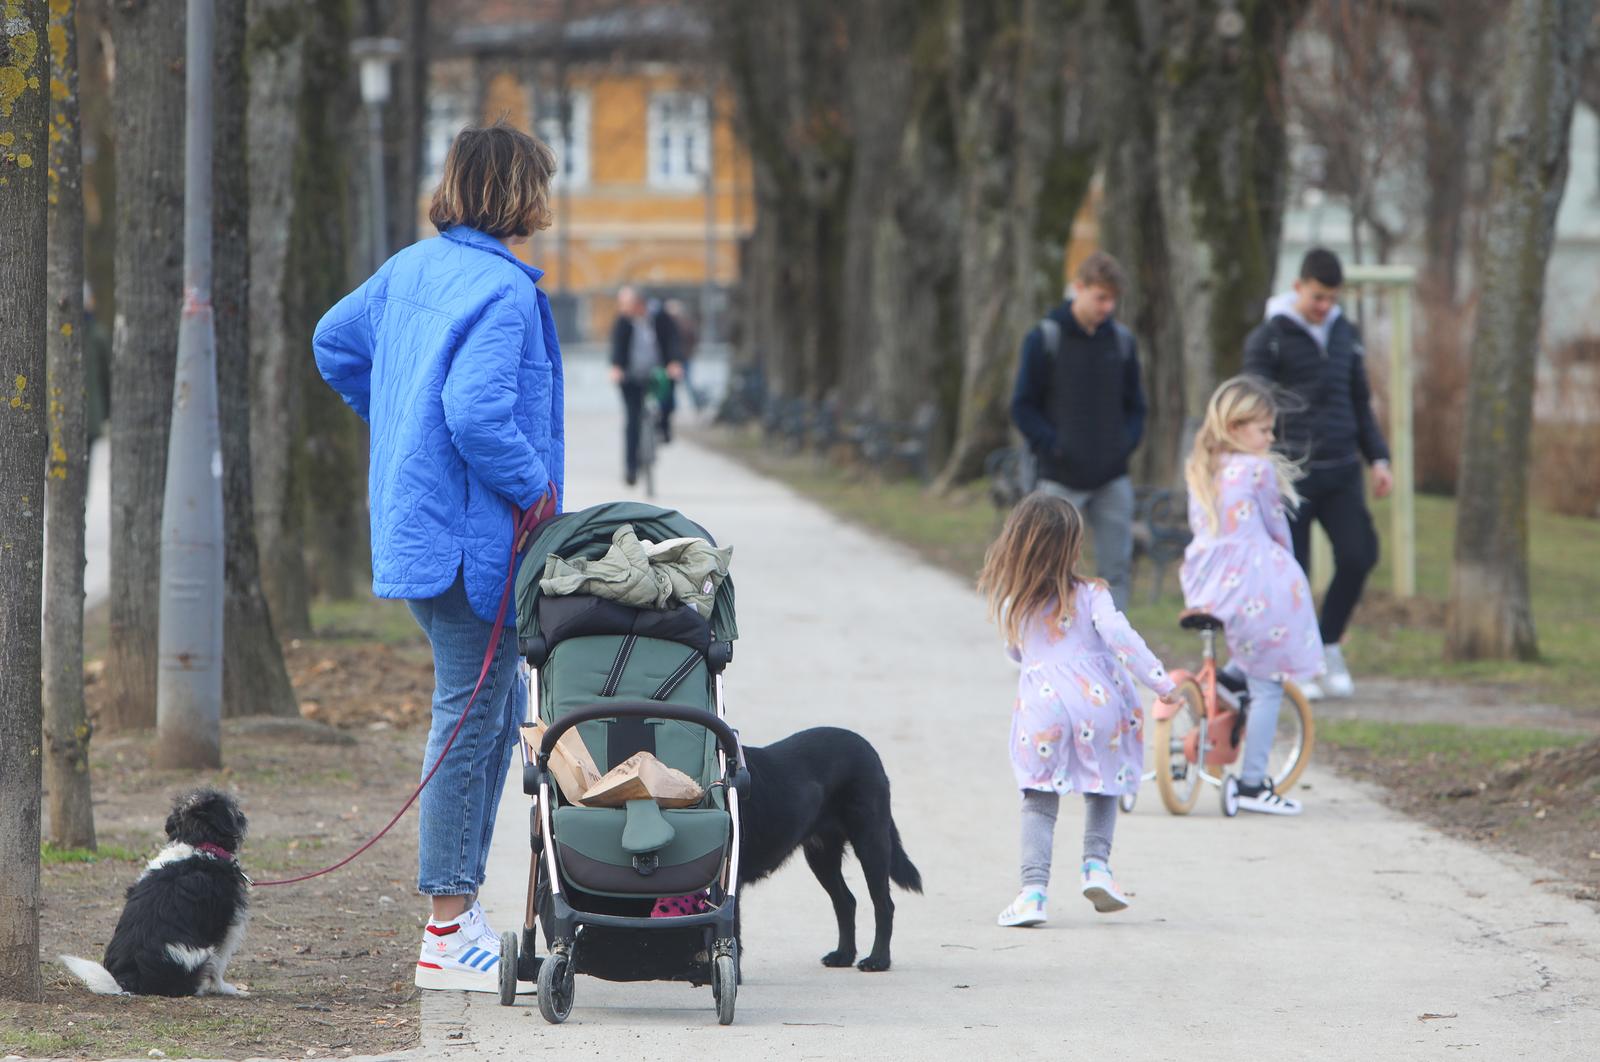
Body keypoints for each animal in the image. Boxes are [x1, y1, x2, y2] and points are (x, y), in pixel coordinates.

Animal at [61, 786, 252, 998]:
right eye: (232, 807)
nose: (242, 816)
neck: (198, 844)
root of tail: (129, 980)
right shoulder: (227, 927)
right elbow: (219, 965)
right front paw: (228, 989)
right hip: (200, 955)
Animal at [739, 729, 928, 972]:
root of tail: (867, 748)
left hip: (871, 843)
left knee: (884, 905)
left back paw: (878, 960)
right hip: (822, 856)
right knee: (846, 902)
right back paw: (843, 955)